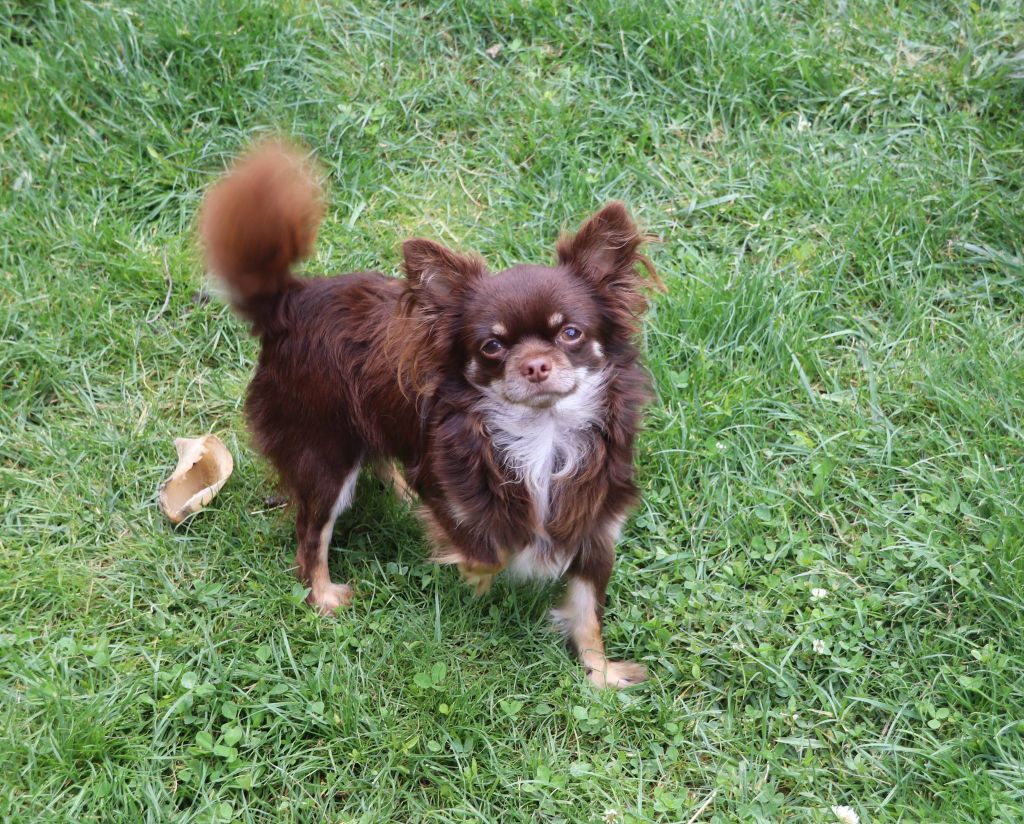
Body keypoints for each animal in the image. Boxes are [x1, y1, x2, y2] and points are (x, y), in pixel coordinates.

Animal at [199, 142, 657, 688]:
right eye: (491, 346)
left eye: (570, 333)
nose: (535, 364)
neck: (543, 433)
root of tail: (288, 302)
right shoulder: (447, 488)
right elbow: (489, 549)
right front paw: (481, 574)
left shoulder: (597, 523)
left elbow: (587, 612)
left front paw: (601, 673)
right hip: (324, 456)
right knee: (311, 535)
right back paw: (324, 595)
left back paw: (395, 496)